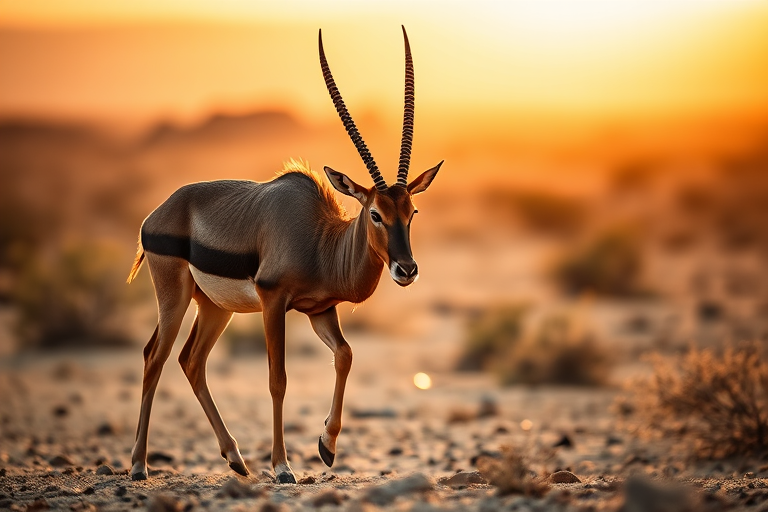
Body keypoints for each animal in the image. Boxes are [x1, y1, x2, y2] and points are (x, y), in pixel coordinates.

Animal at [126, 26, 442, 484]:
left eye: (412, 211)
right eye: (376, 214)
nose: (407, 269)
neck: (320, 240)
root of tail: (159, 212)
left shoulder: (319, 309)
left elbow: (345, 355)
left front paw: (326, 448)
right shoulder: (274, 301)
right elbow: (279, 379)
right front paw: (282, 466)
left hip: (214, 307)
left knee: (191, 360)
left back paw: (236, 459)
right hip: (175, 297)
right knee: (156, 356)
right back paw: (138, 465)